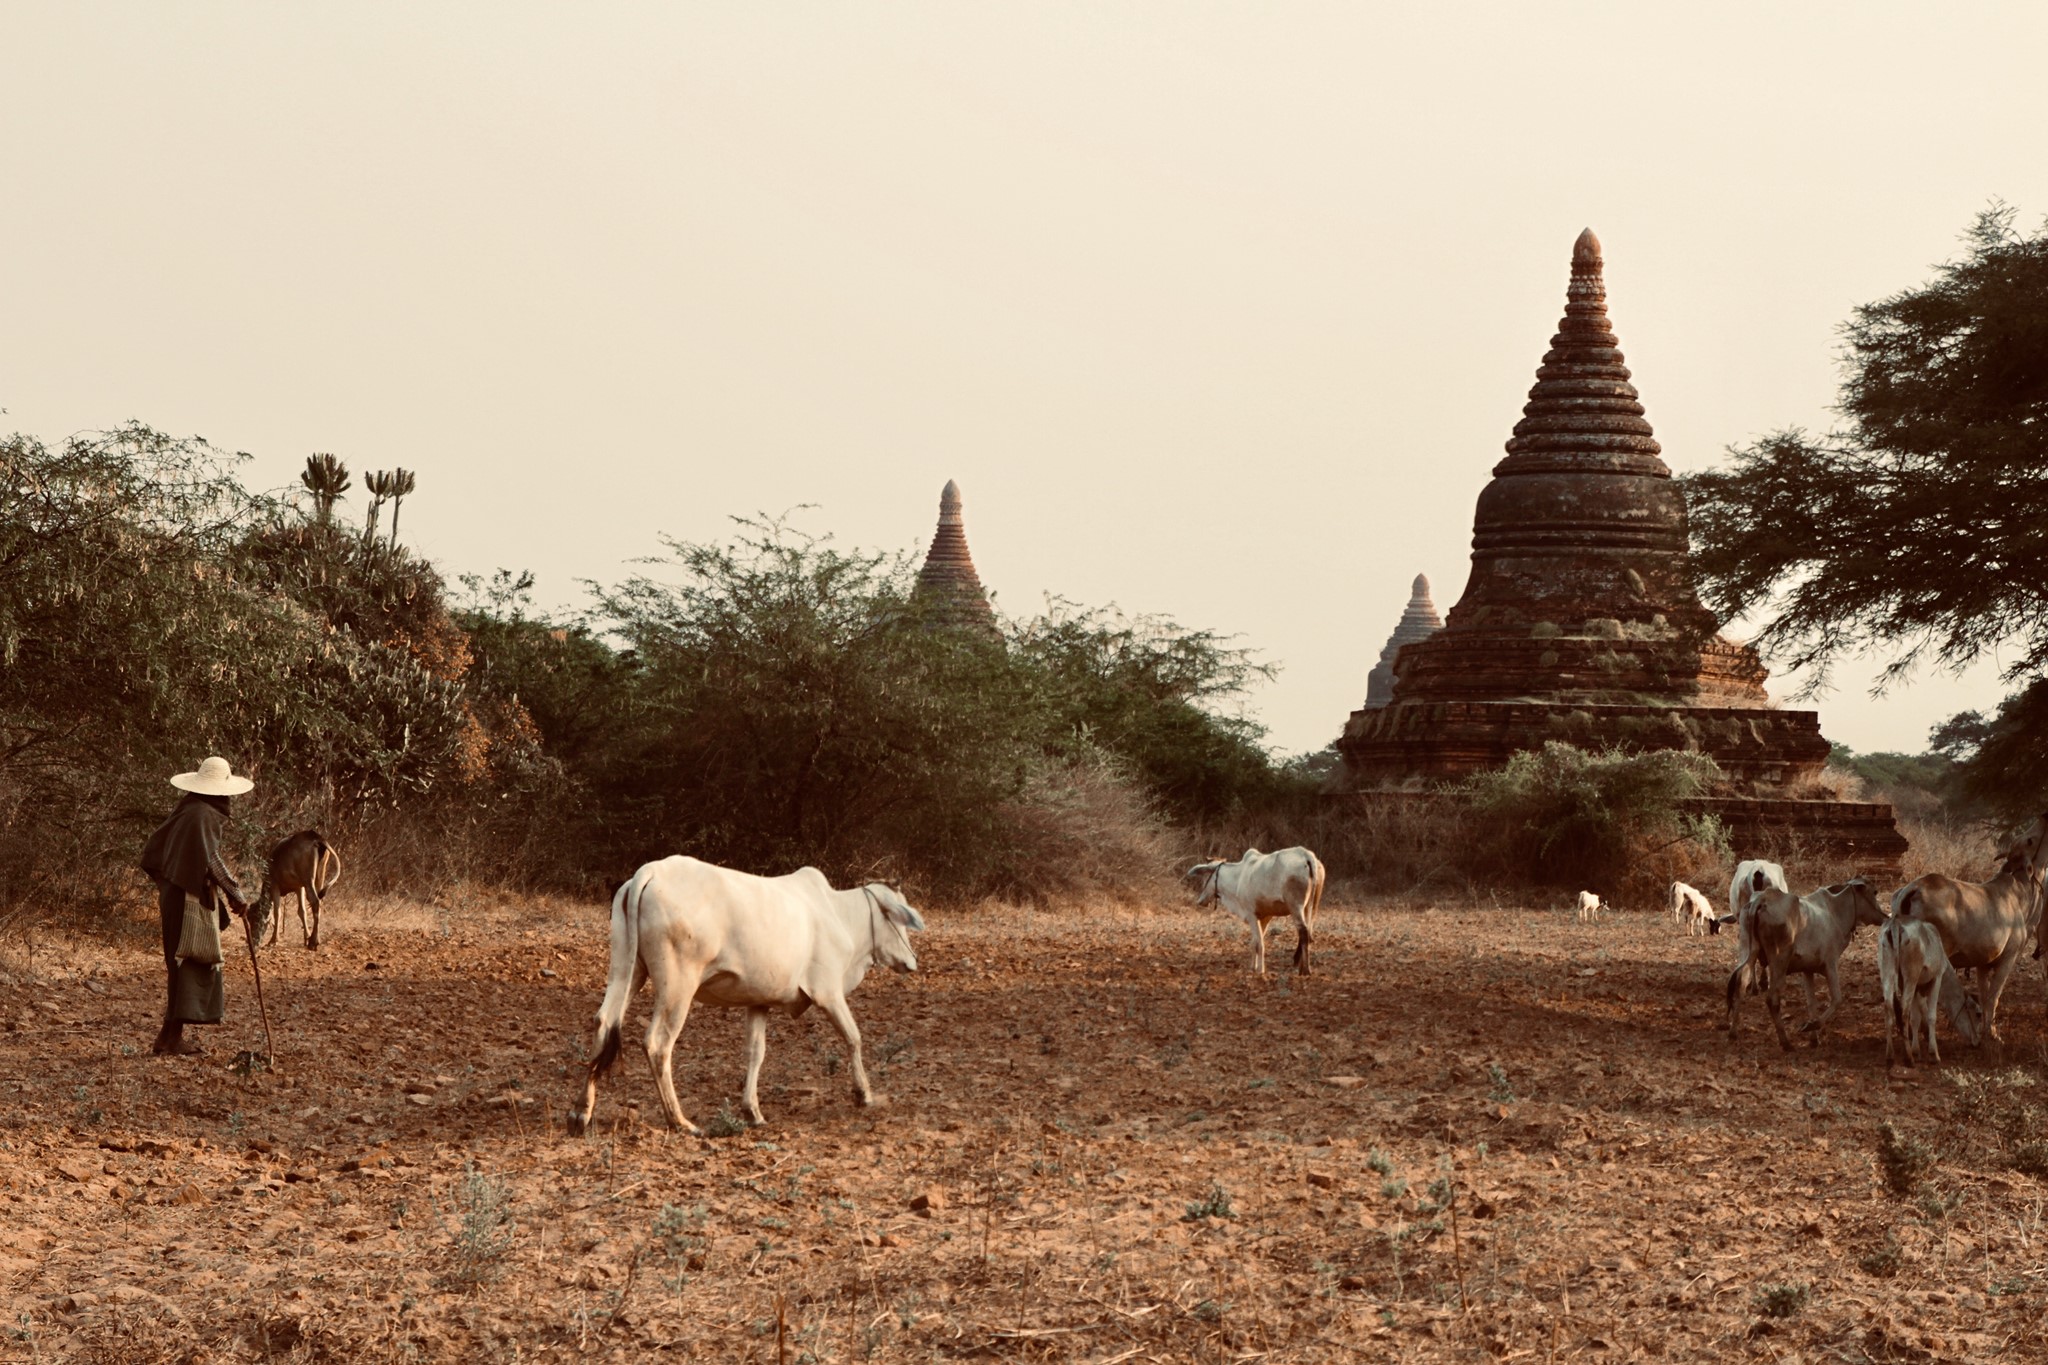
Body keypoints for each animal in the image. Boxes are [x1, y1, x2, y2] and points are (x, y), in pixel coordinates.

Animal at [577, 859, 929, 1137]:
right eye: (898, 920)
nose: (911, 961)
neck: (840, 915)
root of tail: (649, 872)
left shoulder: (759, 1003)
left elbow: (755, 1053)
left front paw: (753, 1111)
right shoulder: (827, 993)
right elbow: (853, 1038)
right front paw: (863, 1094)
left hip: (628, 968)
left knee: (604, 1021)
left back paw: (580, 1113)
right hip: (678, 984)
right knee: (657, 1044)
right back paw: (680, 1121)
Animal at [1187, 847, 1327, 978]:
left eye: (1206, 877)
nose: (1200, 900)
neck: (1238, 876)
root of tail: (1306, 855)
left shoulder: (1251, 915)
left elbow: (1259, 943)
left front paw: (1260, 970)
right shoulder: (1265, 917)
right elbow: (1255, 942)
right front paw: (1252, 967)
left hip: (1296, 907)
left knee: (1303, 932)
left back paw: (1305, 970)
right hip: (1310, 907)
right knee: (1308, 933)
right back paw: (1302, 967)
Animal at [1720, 879, 1875, 1055]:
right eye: (1874, 892)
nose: (1883, 917)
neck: (1834, 911)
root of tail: (1762, 899)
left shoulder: (1807, 970)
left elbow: (1811, 1003)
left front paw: (1814, 1038)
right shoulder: (1830, 964)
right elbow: (1836, 999)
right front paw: (1811, 1026)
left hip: (1748, 951)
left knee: (1740, 988)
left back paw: (1733, 1033)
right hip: (1779, 962)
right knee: (1772, 999)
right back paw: (1786, 1042)